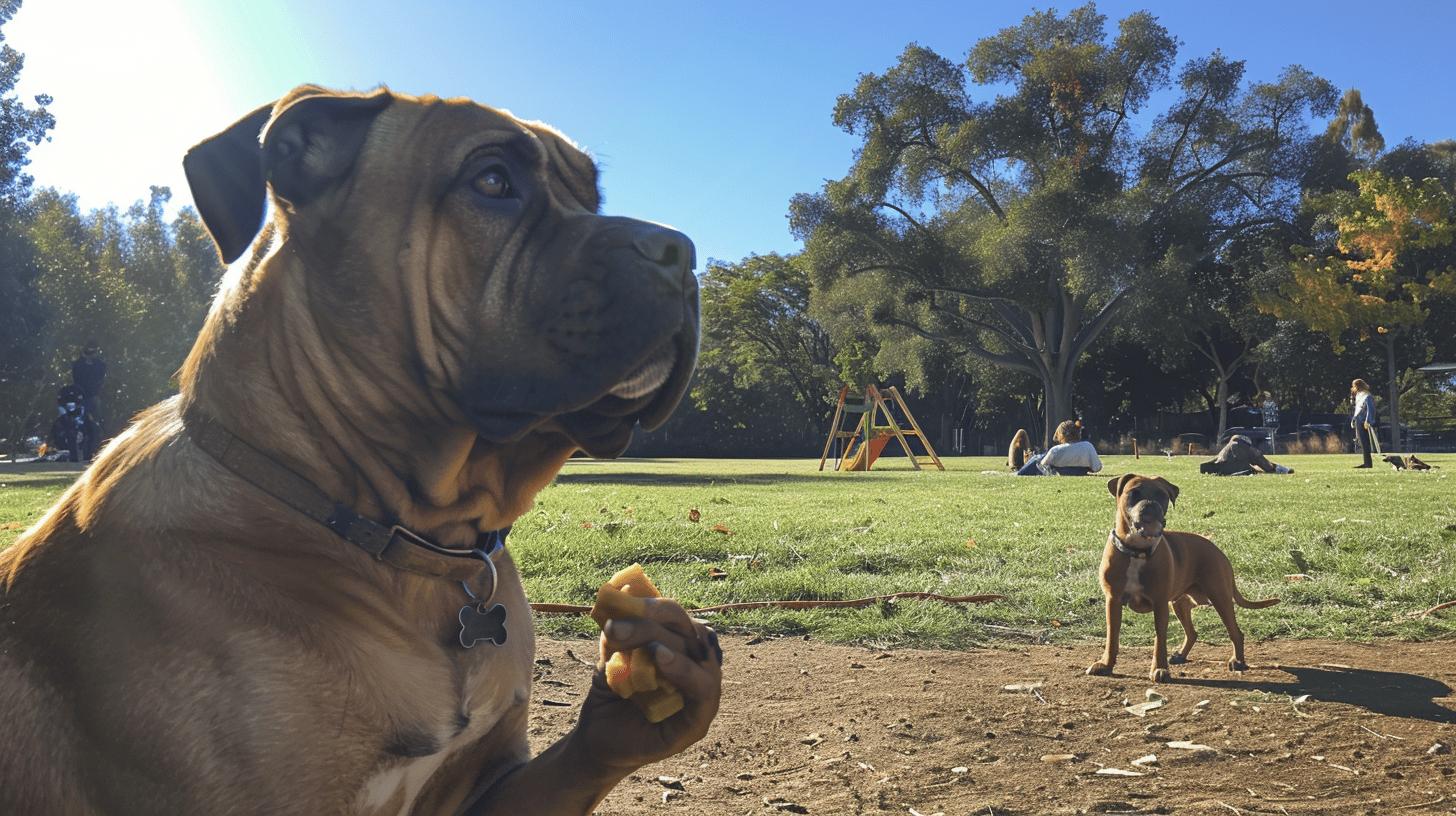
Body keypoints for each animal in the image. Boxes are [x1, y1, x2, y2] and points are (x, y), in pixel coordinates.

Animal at [1089, 472, 1281, 681]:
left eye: (1162, 495)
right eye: (1134, 493)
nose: (1150, 504)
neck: (1137, 551)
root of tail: (1217, 550)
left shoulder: (1160, 604)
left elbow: (1160, 639)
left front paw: (1159, 668)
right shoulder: (1113, 602)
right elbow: (1112, 637)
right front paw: (1106, 664)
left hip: (1220, 598)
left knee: (1236, 632)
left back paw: (1238, 660)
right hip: (1181, 602)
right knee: (1192, 631)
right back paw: (1181, 654)